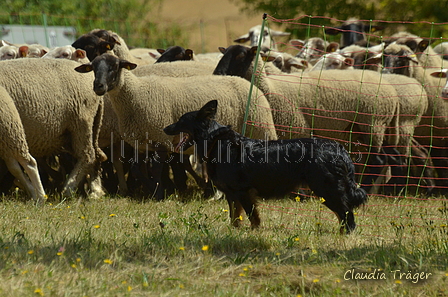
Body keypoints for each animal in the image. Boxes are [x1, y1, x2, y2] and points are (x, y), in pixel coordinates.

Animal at [73, 54, 276, 200]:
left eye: (114, 66)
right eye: (93, 69)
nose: (98, 86)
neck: (135, 94)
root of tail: (246, 82)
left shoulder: (161, 139)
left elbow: (156, 168)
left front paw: (159, 193)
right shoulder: (141, 142)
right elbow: (138, 169)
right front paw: (153, 190)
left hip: (260, 127)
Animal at [164, 100, 368, 232]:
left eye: (181, 120)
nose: (165, 128)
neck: (215, 141)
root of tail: (338, 148)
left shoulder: (243, 191)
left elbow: (252, 216)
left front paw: (254, 233)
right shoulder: (232, 194)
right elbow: (235, 216)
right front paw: (234, 231)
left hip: (326, 188)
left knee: (347, 215)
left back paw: (344, 235)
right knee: (344, 214)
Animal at [212, 44, 404, 191]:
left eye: (240, 55)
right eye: (224, 53)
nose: (217, 73)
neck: (270, 88)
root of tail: (392, 92)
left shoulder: (295, 128)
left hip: (372, 125)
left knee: (378, 160)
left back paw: (367, 189)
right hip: (372, 128)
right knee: (394, 156)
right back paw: (393, 189)